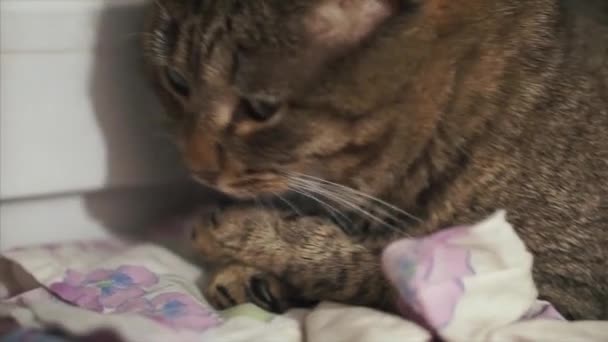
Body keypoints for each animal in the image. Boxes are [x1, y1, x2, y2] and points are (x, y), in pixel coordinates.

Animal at [144, 0, 608, 320]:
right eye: (177, 81)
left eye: (259, 109)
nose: (196, 167)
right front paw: (252, 274)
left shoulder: (557, 295)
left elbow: (381, 272)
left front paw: (251, 234)